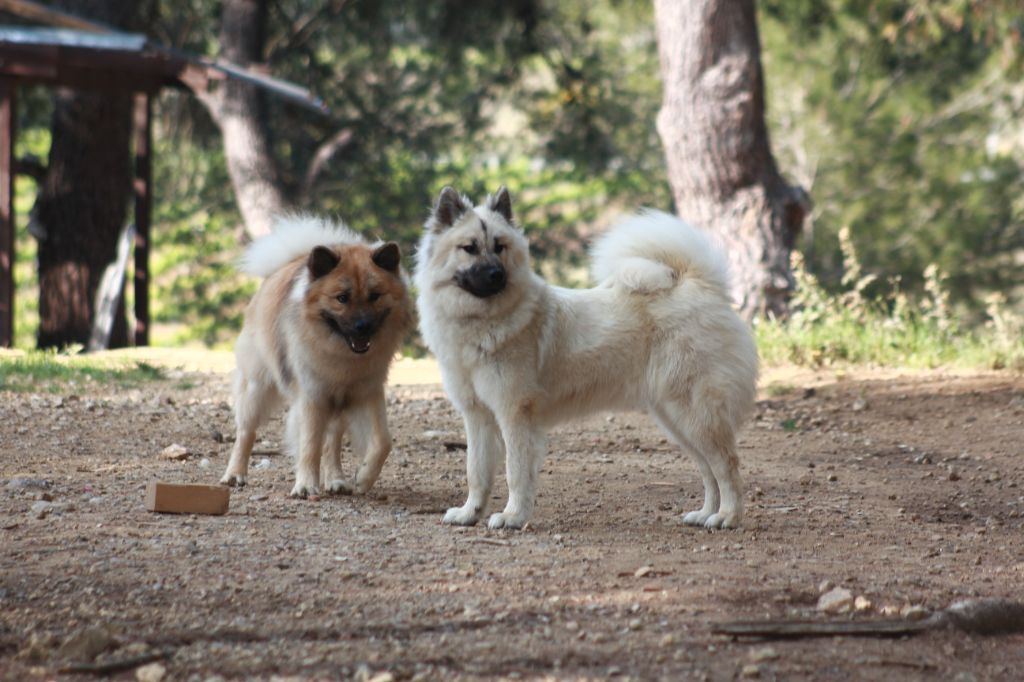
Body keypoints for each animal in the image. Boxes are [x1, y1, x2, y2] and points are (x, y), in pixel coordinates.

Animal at [221, 215, 411, 497]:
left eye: (374, 296)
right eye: (342, 298)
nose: (363, 326)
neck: (343, 357)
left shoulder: (365, 392)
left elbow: (382, 442)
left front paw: (363, 478)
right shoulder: (313, 397)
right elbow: (310, 445)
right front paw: (306, 485)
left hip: (337, 407)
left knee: (332, 443)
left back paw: (336, 480)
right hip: (256, 388)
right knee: (246, 432)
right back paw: (235, 474)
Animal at [411, 187, 757, 532]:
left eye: (500, 246)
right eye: (469, 248)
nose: (498, 274)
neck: (480, 320)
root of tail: (700, 285)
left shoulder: (514, 414)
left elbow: (515, 472)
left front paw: (513, 516)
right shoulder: (477, 416)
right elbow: (476, 472)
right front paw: (469, 513)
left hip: (693, 412)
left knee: (726, 465)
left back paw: (727, 517)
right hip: (675, 419)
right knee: (708, 470)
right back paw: (705, 514)